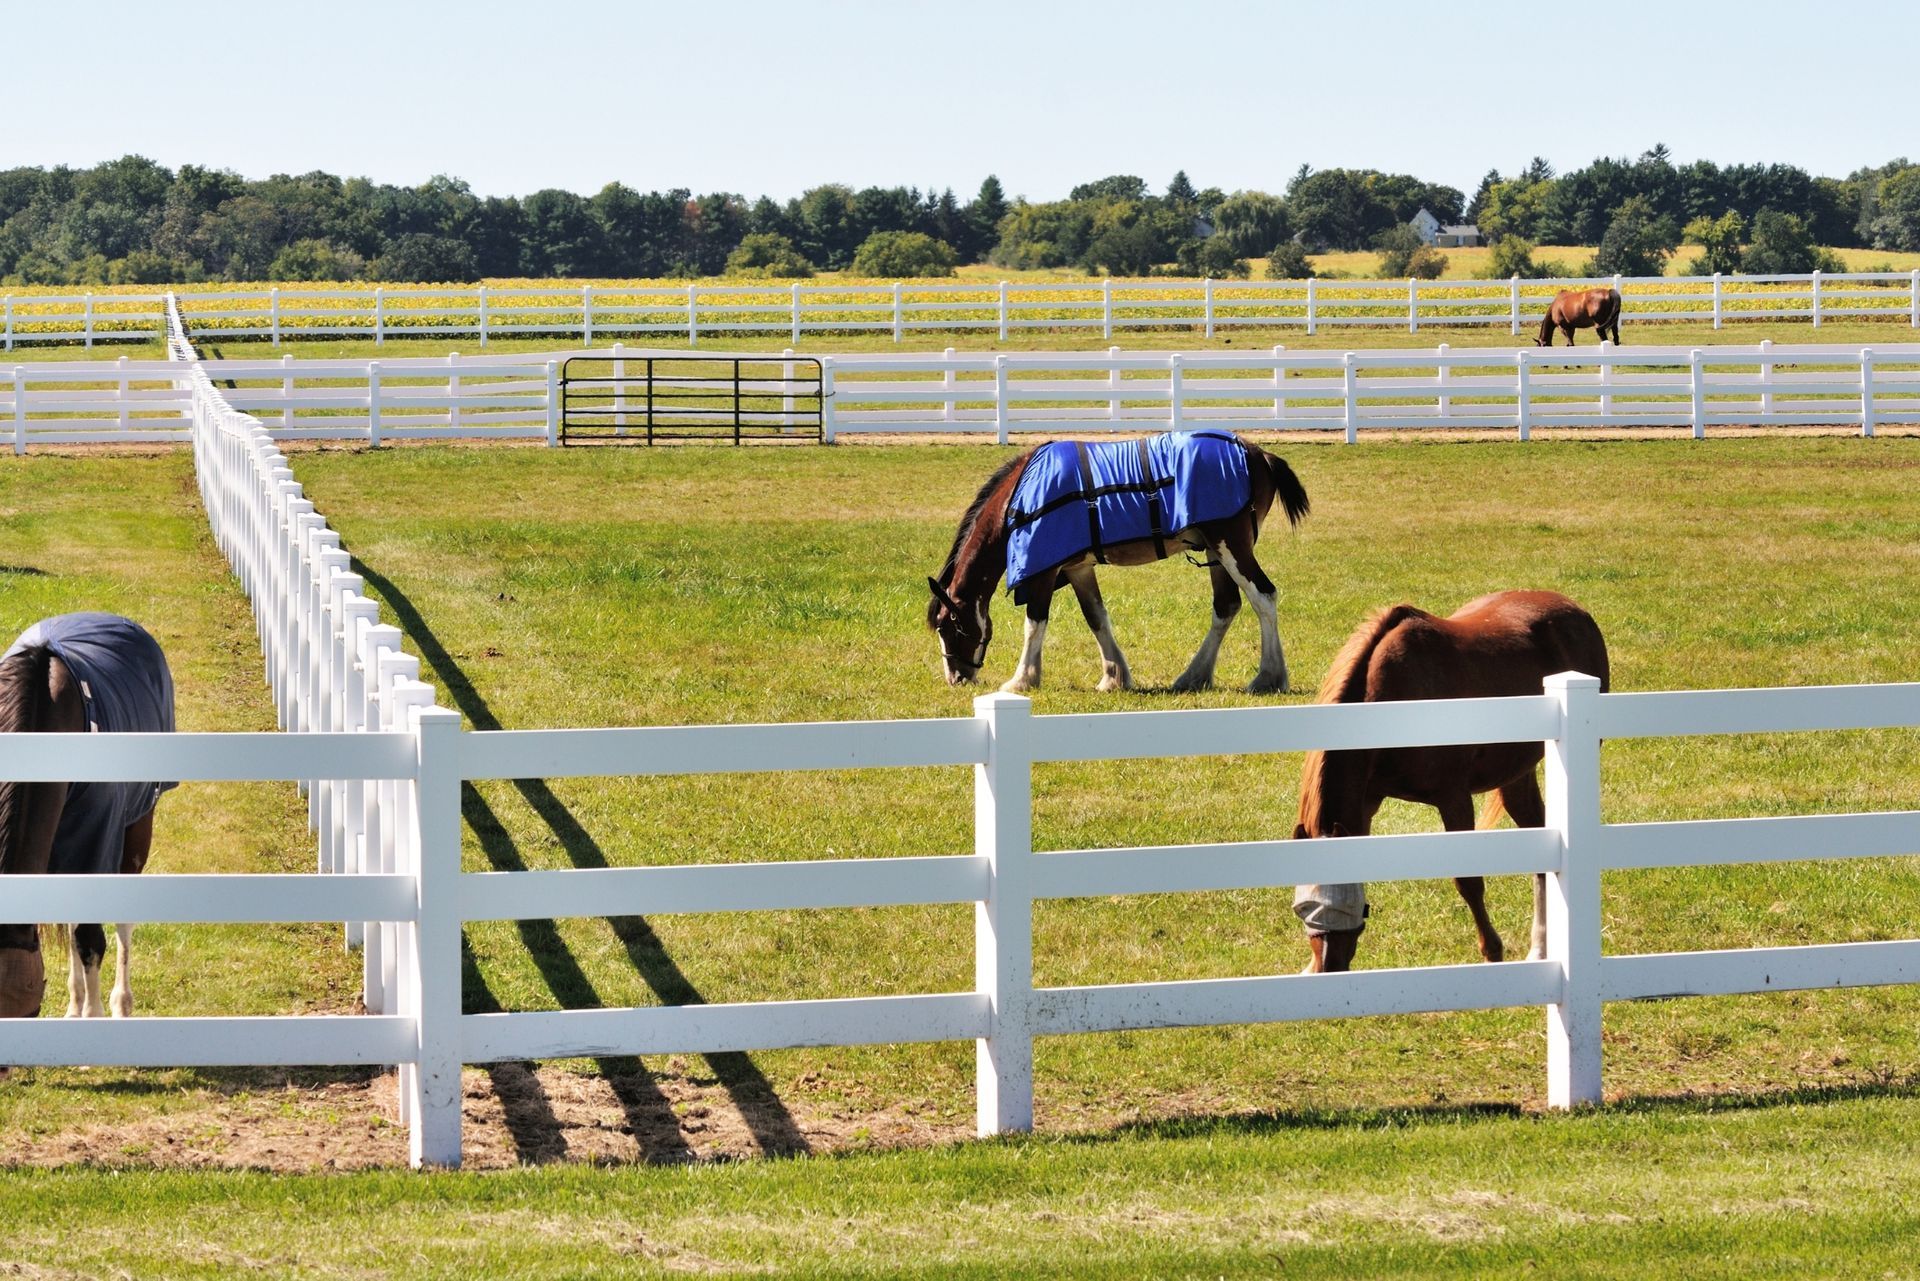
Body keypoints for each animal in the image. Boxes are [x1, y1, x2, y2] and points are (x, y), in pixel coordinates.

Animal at [0, 613, 176, 1028]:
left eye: (26, 1013)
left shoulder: (96, 841)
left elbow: (90, 937)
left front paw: (93, 1015)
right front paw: (78, 1007)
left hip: (137, 827)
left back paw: (120, 1003)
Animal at [927, 430, 1309, 694]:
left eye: (947, 626)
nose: (956, 677)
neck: (1020, 495)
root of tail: (1258, 453)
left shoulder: (1044, 571)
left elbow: (1034, 624)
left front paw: (1022, 679)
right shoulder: (1078, 568)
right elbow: (1096, 618)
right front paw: (1114, 676)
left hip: (1231, 546)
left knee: (1263, 597)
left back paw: (1269, 677)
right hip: (1217, 552)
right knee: (1227, 606)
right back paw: (1194, 676)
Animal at [1290, 590, 1609, 974]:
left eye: (1355, 908)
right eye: (1303, 910)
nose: (1329, 966)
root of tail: (1573, 608)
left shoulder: (1454, 798)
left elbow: (1468, 882)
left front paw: (1492, 952)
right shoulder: (1366, 801)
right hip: (1516, 775)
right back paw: (1539, 950)